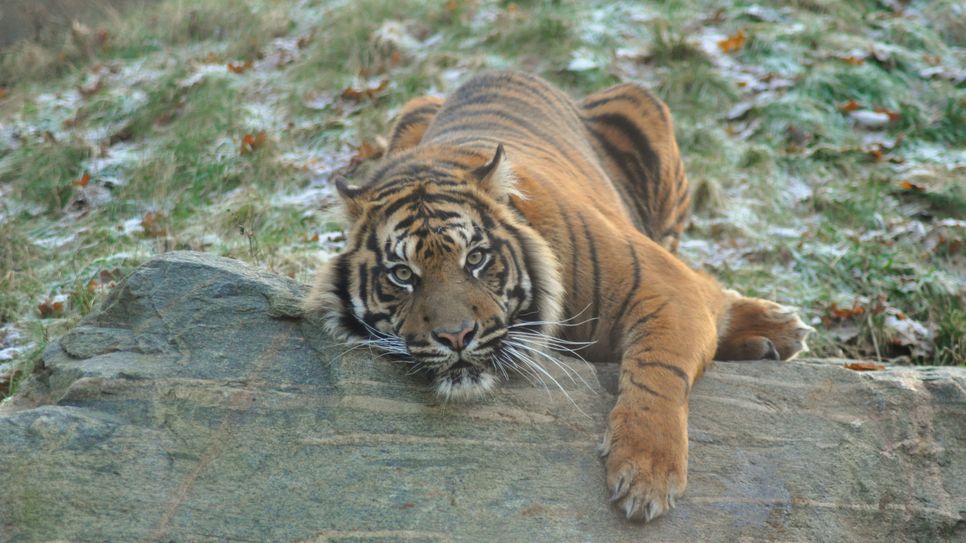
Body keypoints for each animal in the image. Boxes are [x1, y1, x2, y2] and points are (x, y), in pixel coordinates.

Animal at [304, 71, 816, 524]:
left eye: (476, 258)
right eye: (403, 274)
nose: (456, 337)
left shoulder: (664, 283)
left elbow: (657, 370)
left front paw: (645, 476)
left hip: (648, 117)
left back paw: (778, 329)